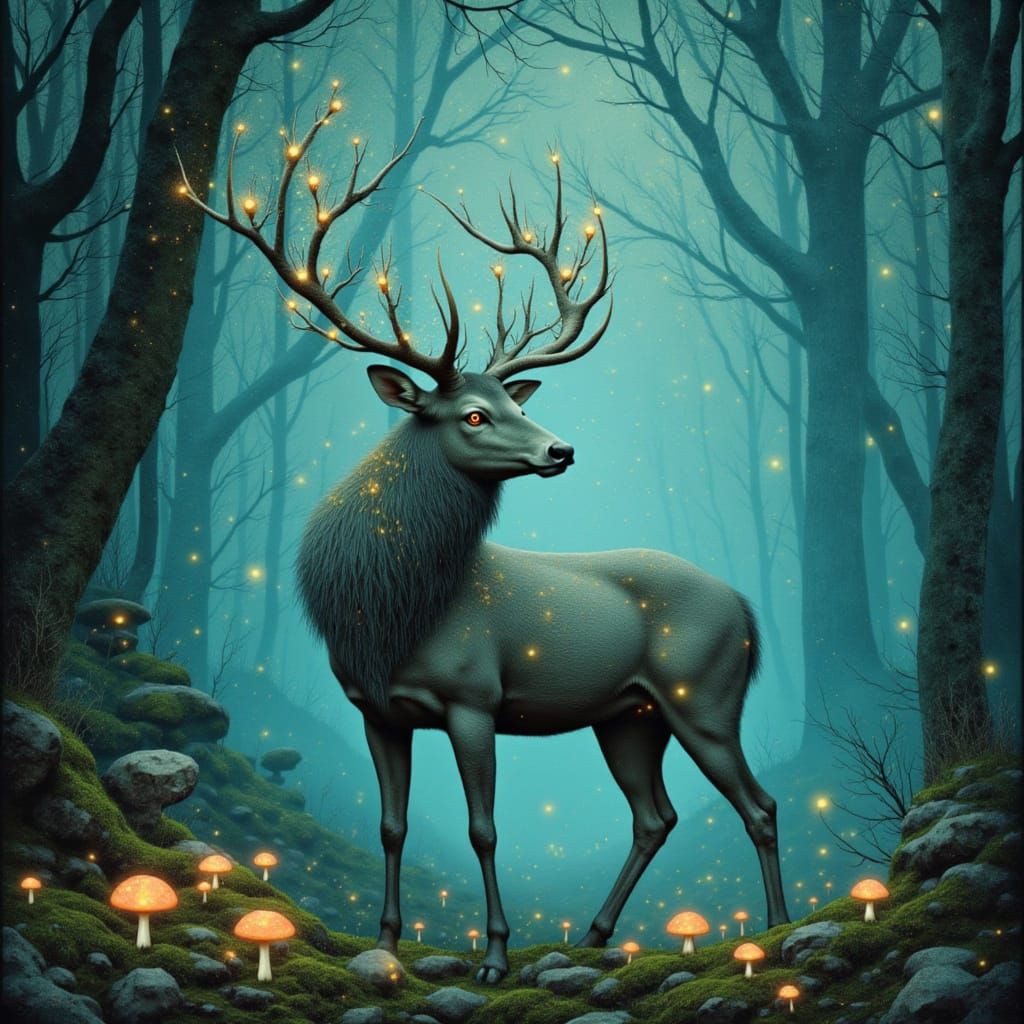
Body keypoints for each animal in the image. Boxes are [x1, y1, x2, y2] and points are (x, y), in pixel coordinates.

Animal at [179, 86, 790, 983]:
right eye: (473, 413)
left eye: (516, 402)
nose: (561, 449)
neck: (391, 611)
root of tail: (745, 609)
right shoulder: (376, 707)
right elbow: (393, 825)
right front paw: (389, 940)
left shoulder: (476, 697)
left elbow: (483, 828)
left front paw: (496, 956)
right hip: (629, 714)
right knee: (657, 815)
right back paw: (594, 935)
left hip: (703, 694)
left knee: (759, 801)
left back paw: (776, 930)